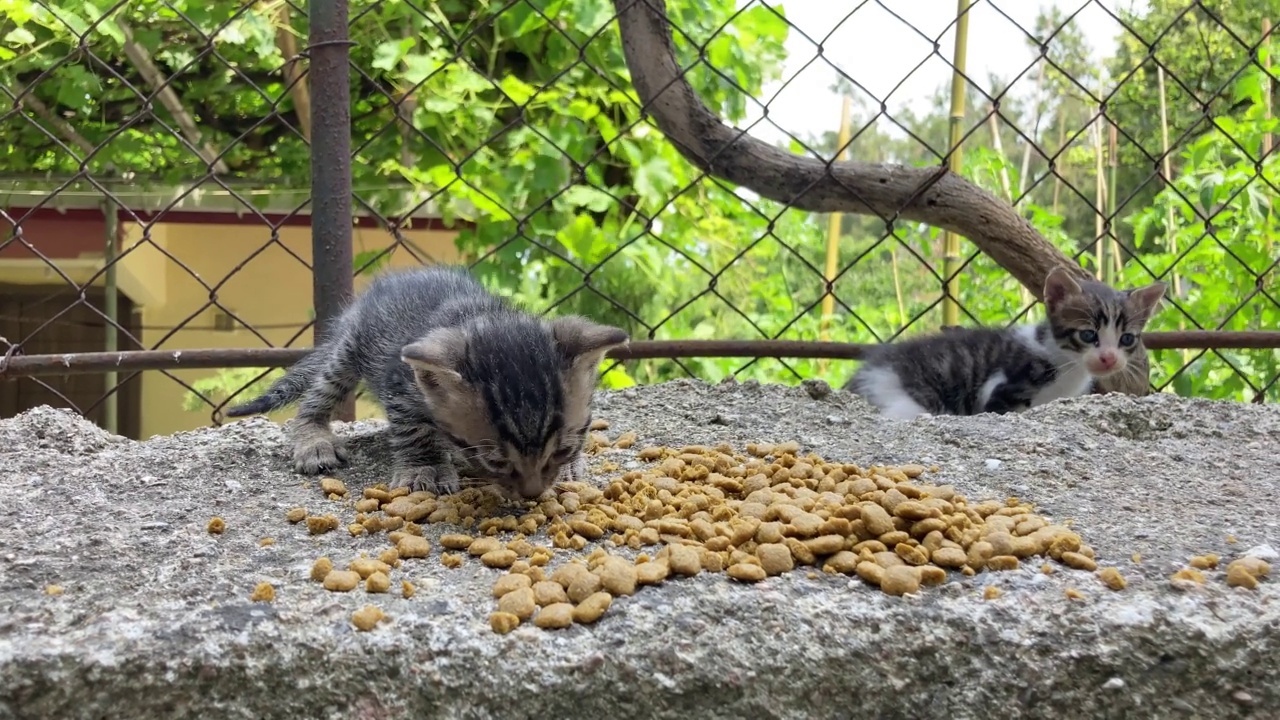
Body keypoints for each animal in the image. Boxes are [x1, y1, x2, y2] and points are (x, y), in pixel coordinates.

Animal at [231, 265, 634, 499]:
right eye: (495, 461)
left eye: (562, 449)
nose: (533, 495)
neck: (479, 315)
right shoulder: (400, 383)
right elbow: (415, 429)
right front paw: (426, 467)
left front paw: (569, 467)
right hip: (350, 348)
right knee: (319, 394)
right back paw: (313, 439)